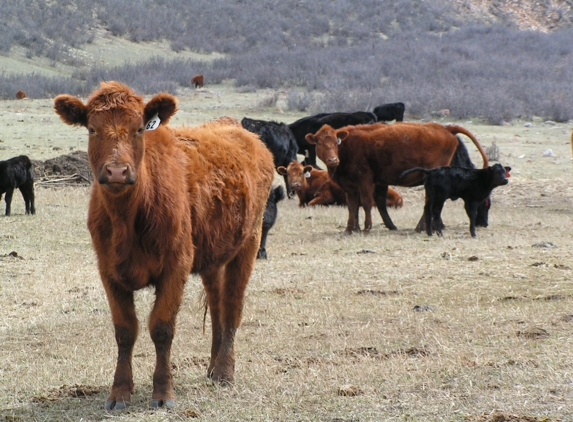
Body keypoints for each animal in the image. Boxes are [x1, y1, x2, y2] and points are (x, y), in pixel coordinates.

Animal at [54, 81, 274, 410]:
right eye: (92, 129)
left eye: (138, 129)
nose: (117, 171)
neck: (127, 218)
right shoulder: (108, 271)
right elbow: (125, 330)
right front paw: (119, 392)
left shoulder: (176, 266)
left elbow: (161, 328)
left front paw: (163, 392)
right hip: (211, 256)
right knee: (218, 305)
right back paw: (212, 367)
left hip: (249, 243)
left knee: (233, 306)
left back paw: (224, 371)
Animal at [306, 122, 484, 234]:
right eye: (320, 143)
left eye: (336, 142)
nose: (333, 160)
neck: (348, 145)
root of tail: (446, 128)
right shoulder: (350, 186)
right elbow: (352, 207)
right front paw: (350, 229)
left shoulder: (365, 182)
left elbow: (366, 203)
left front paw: (366, 227)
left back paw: (422, 227)